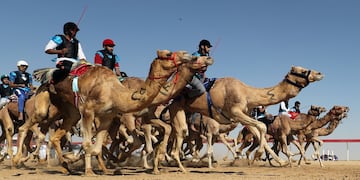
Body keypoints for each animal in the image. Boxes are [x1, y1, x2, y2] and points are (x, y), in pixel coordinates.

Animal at [12, 49, 202, 176]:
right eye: (169, 54)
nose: (190, 55)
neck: (115, 93)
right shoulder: (89, 111)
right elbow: (90, 144)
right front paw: (89, 170)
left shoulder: (108, 117)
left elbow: (97, 146)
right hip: (44, 104)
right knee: (27, 127)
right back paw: (18, 161)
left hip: (69, 111)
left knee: (56, 136)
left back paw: (66, 165)